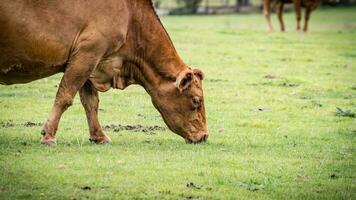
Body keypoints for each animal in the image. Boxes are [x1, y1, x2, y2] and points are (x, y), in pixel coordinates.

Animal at [0, 0, 209, 146]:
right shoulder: (88, 53)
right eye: (196, 100)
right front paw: (48, 136)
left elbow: (91, 102)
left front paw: (99, 136)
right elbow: (65, 96)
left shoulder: (91, 62)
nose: (205, 136)